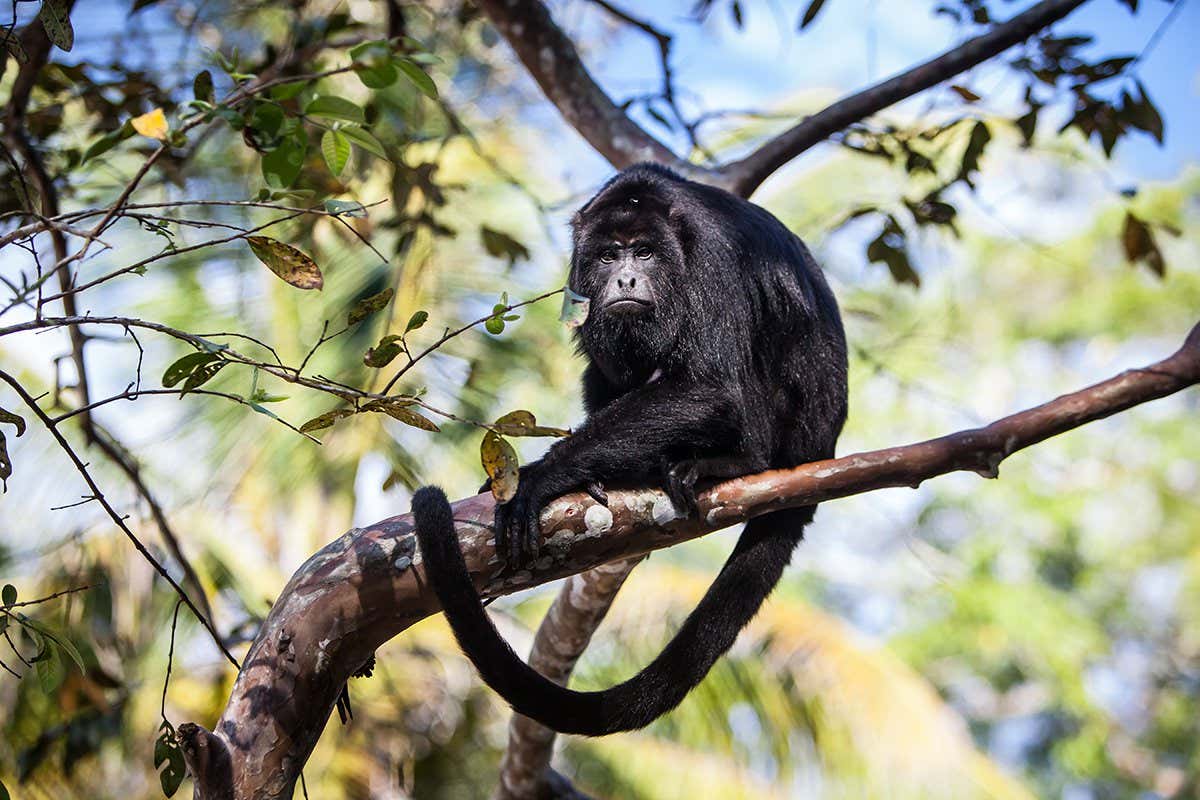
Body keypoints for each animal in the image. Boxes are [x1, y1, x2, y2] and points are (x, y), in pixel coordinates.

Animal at [412, 163, 847, 736]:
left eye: (643, 253)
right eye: (607, 257)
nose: (624, 280)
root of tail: (822, 446)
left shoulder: (713, 257)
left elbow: (711, 387)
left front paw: (539, 478)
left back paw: (731, 462)